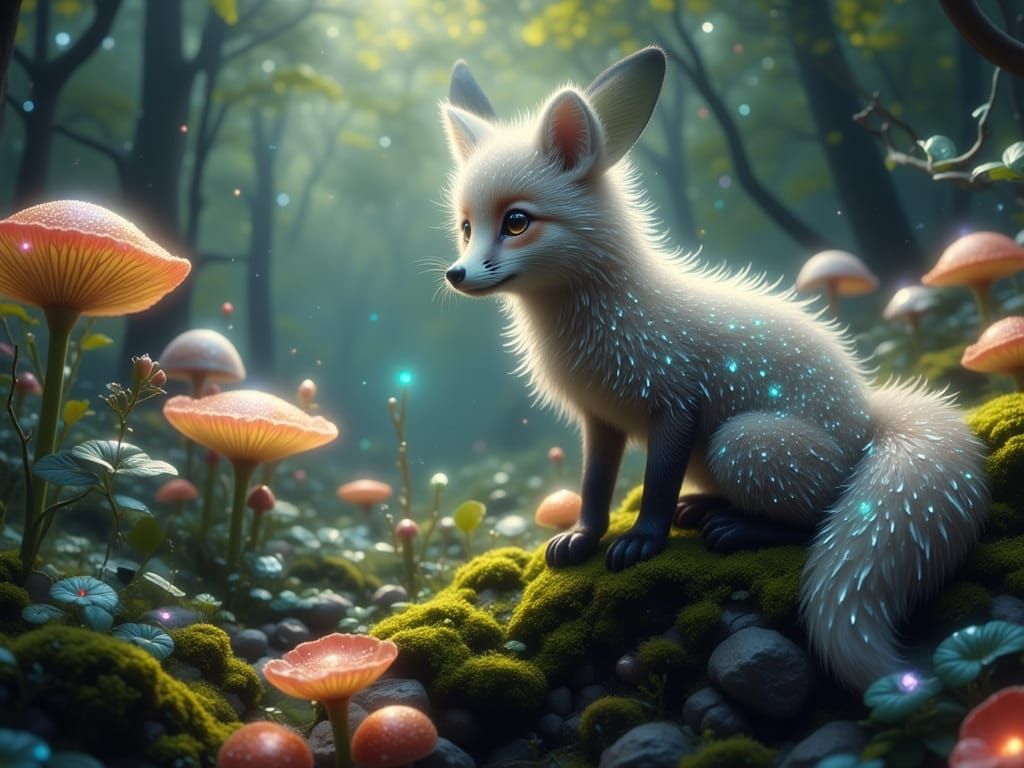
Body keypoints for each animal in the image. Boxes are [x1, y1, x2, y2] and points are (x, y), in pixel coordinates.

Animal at [438, 46, 989, 691]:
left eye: (517, 222)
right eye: (467, 227)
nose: (456, 274)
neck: (596, 321)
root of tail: (868, 416)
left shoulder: (676, 402)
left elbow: (655, 484)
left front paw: (642, 542)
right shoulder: (600, 418)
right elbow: (594, 485)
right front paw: (582, 537)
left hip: (739, 440)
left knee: (821, 513)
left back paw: (737, 528)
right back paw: (706, 509)